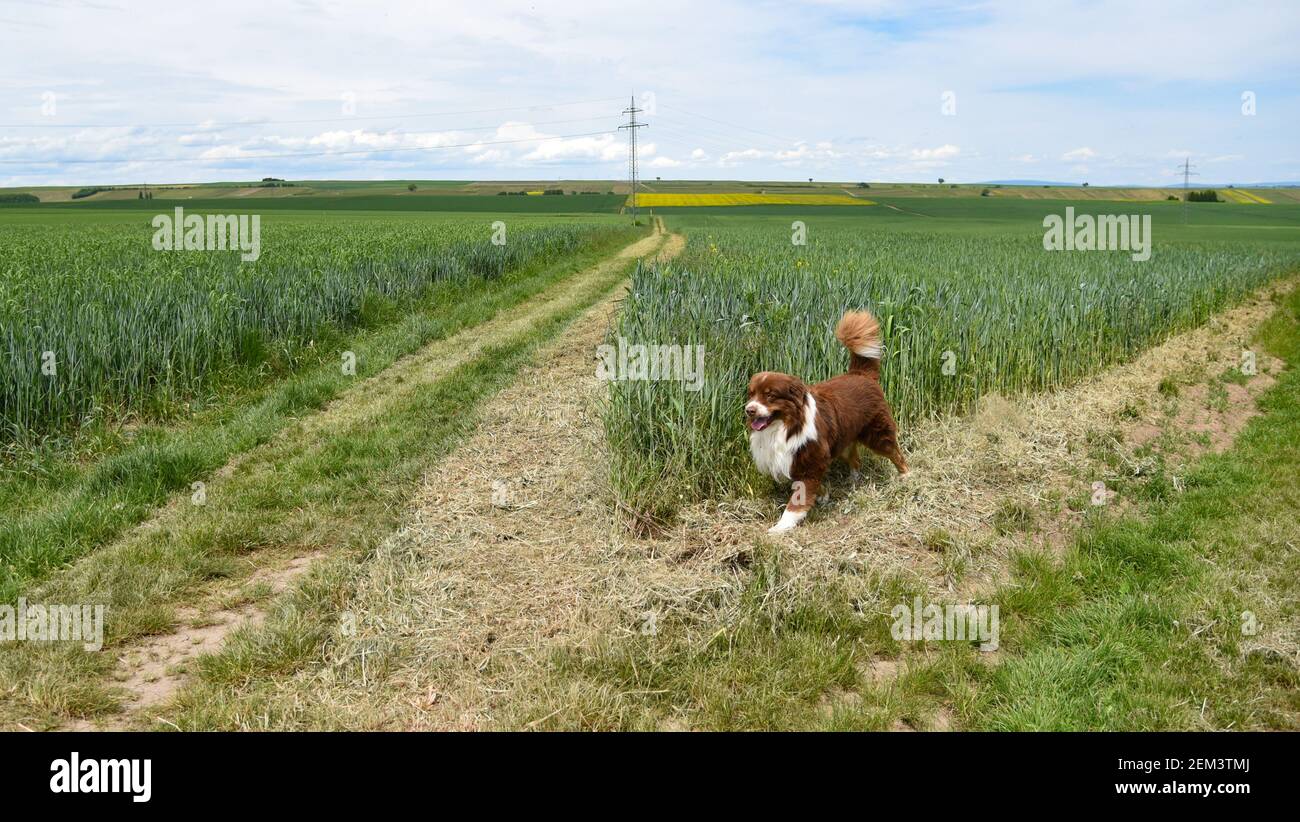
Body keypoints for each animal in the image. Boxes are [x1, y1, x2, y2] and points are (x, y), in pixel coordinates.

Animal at [748, 308, 909, 533]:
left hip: (876, 433)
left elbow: (796, 502)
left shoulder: (810, 458)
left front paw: (780, 528)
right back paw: (854, 479)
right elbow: (812, 485)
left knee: (895, 453)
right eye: (751, 394)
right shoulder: (800, 461)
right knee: (855, 459)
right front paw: (823, 496)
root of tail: (860, 374)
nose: (749, 410)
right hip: (843, 439)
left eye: (770, 396)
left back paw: (905, 476)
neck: (786, 427)